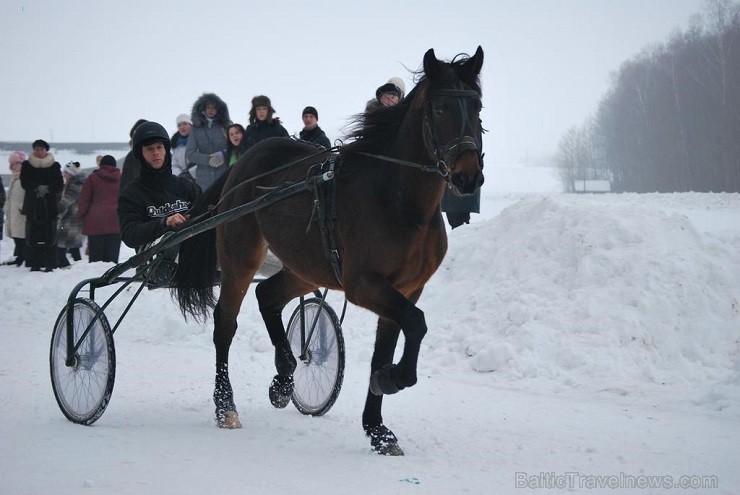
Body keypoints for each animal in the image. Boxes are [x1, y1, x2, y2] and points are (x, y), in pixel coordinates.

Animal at [174, 47, 486, 458]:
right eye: (439, 109)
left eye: (477, 106)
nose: (469, 176)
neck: (399, 200)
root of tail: (243, 163)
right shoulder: (363, 283)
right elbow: (416, 323)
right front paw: (392, 379)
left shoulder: (405, 287)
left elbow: (387, 346)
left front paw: (378, 428)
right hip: (241, 255)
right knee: (225, 323)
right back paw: (225, 405)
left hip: (306, 267)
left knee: (267, 295)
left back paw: (285, 375)